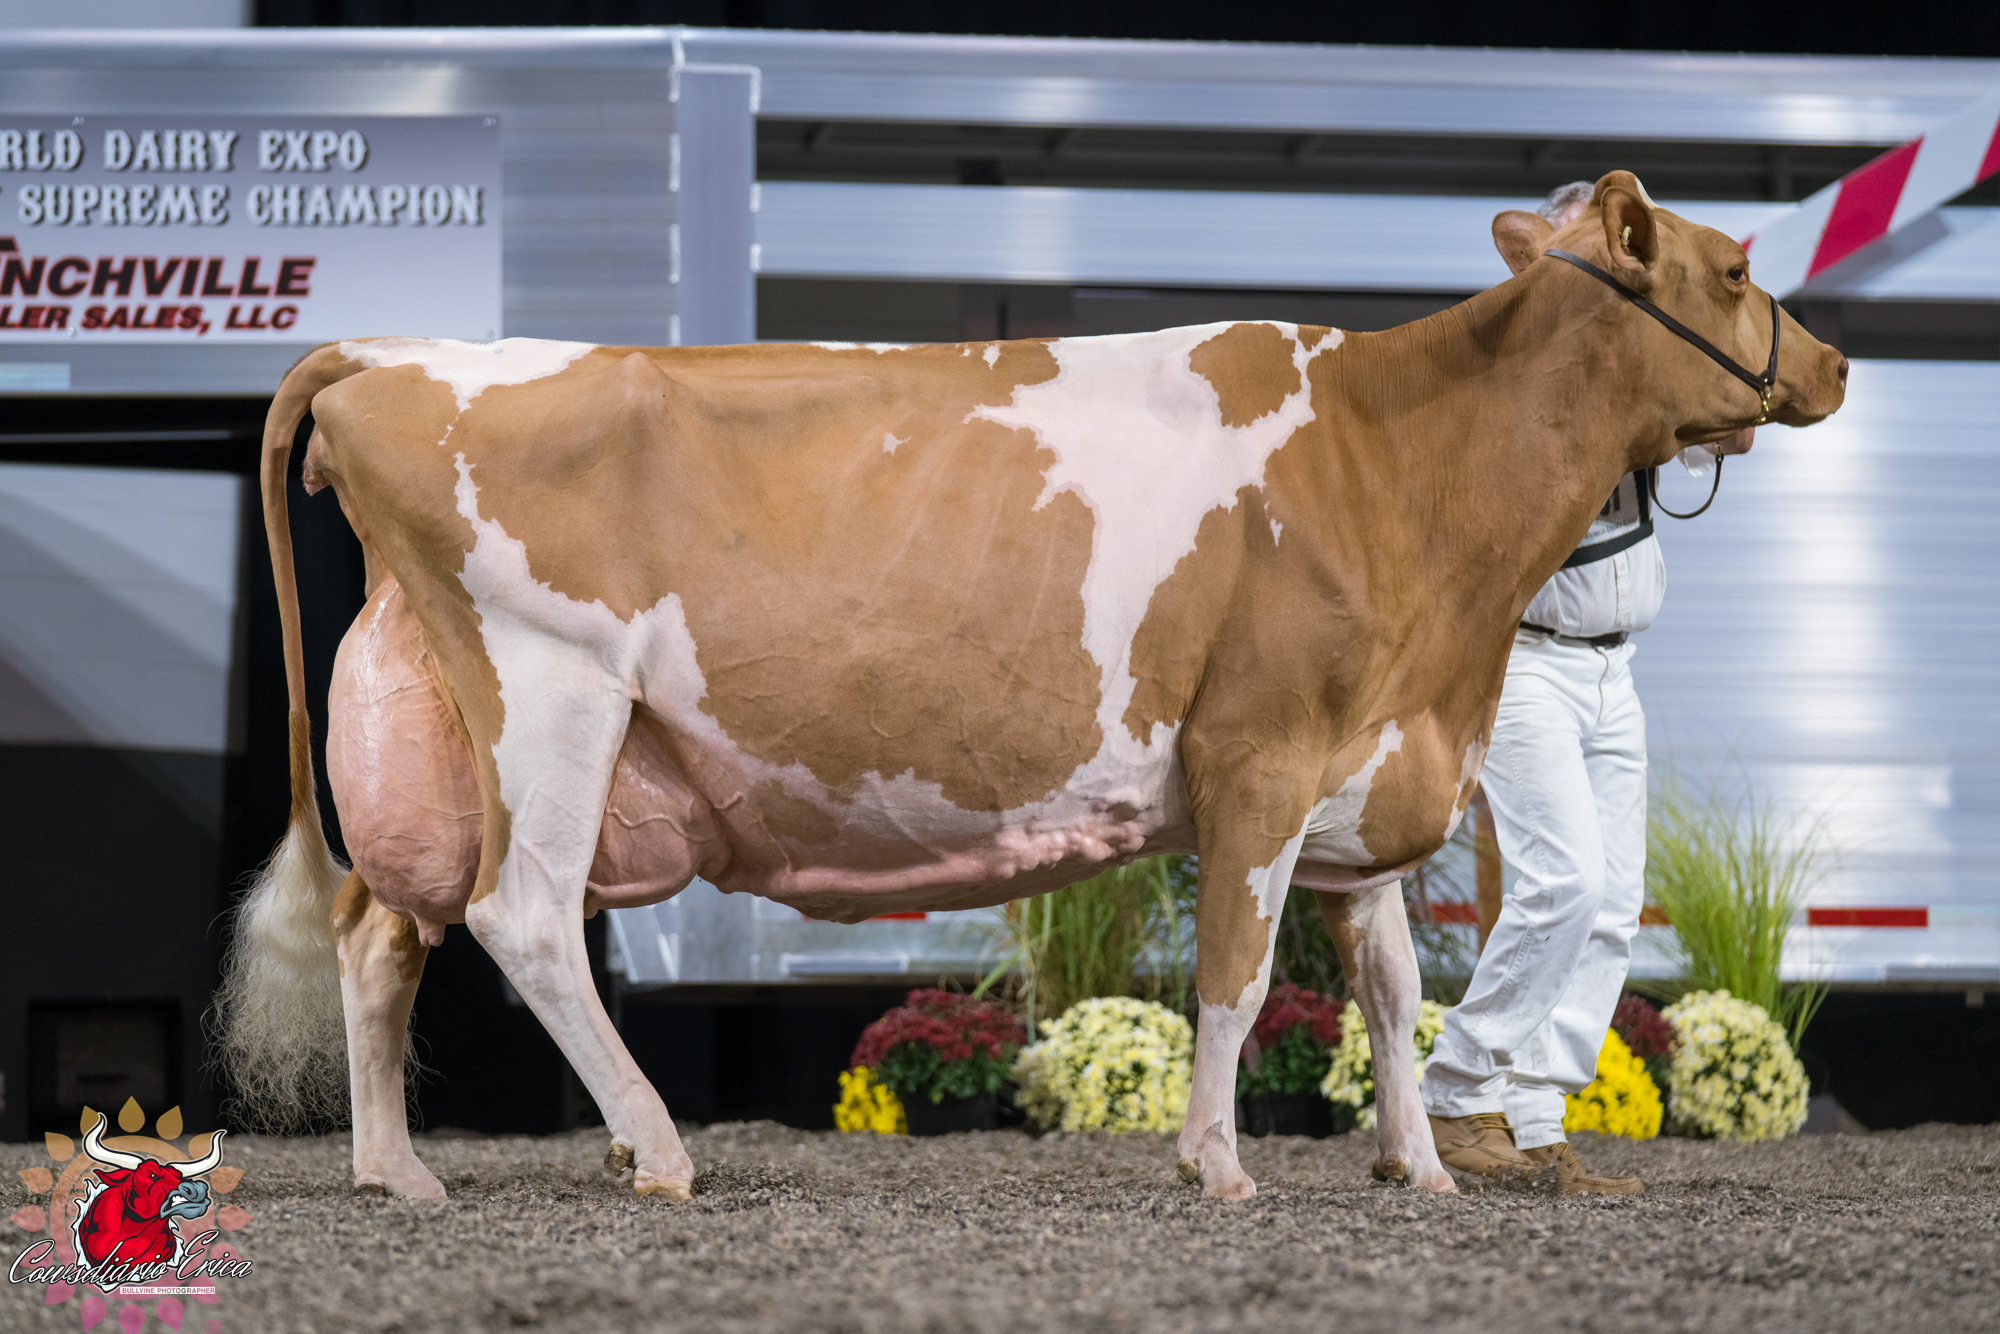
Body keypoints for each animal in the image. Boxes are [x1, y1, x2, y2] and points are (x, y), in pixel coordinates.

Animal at [217, 172, 1846, 1202]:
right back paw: (656, 1149)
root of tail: (393, 354)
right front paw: (1219, 1164)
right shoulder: (1259, 755)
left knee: (382, 933)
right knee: (526, 917)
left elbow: (1389, 991)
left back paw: (399, 1171)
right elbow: (1236, 976)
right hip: (549, 695)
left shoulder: (1370, 767)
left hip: (429, 736)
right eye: (1736, 267)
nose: (1830, 364)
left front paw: (1424, 1167)